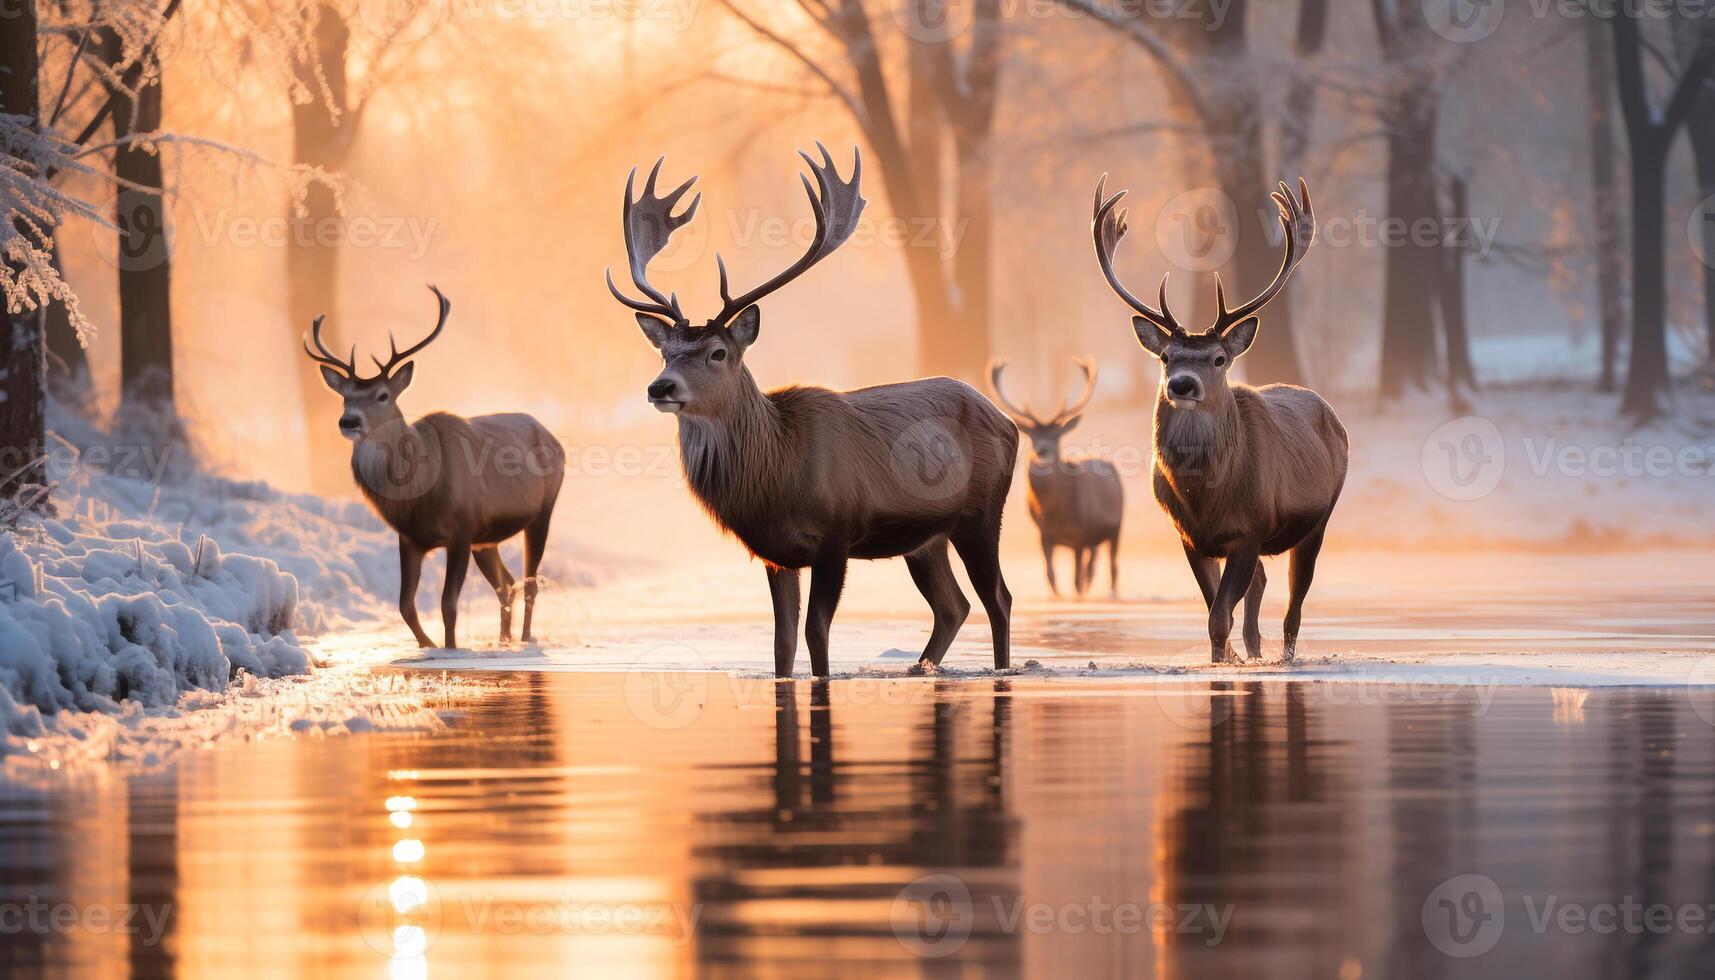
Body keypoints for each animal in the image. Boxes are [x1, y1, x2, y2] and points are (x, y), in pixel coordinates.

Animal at [305, 284, 565, 652]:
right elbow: (405, 605)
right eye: (345, 397)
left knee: (529, 581)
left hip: (542, 511)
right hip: (487, 539)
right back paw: (503, 640)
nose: (349, 421)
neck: (418, 493)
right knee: (506, 582)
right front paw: (427, 645)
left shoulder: (461, 530)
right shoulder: (410, 537)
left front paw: (450, 648)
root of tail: (552, 436)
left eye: (383, 395)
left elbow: (447, 605)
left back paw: (525, 639)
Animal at [607, 145, 1015, 679]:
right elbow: (781, 643)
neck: (776, 475)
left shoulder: (837, 533)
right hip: (926, 538)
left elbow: (816, 632)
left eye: (717, 352)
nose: (660, 387)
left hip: (982, 511)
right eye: (665, 353)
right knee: (953, 606)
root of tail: (1008, 423)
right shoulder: (774, 553)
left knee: (998, 599)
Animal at [994, 355, 1125, 593]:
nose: (1042, 450)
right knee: (1092, 563)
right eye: (1032, 435)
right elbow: (1051, 575)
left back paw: (1111, 591)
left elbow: (1075, 579)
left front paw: (1077, 594)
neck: (1054, 513)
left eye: (1057, 436)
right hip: (1095, 536)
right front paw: (1058, 594)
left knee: (1112, 565)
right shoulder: (1043, 533)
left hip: (1116, 527)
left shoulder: (1080, 534)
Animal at [1083, 178, 1351, 665]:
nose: (1182, 384)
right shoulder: (1189, 536)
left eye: (1219, 358)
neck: (1206, 496)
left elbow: (1219, 617)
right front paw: (1225, 661)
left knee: (1294, 609)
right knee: (1262, 582)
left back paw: (1284, 656)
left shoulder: (1250, 527)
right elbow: (1216, 614)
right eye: (1166, 356)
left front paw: (1224, 663)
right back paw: (1255, 651)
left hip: (1318, 521)